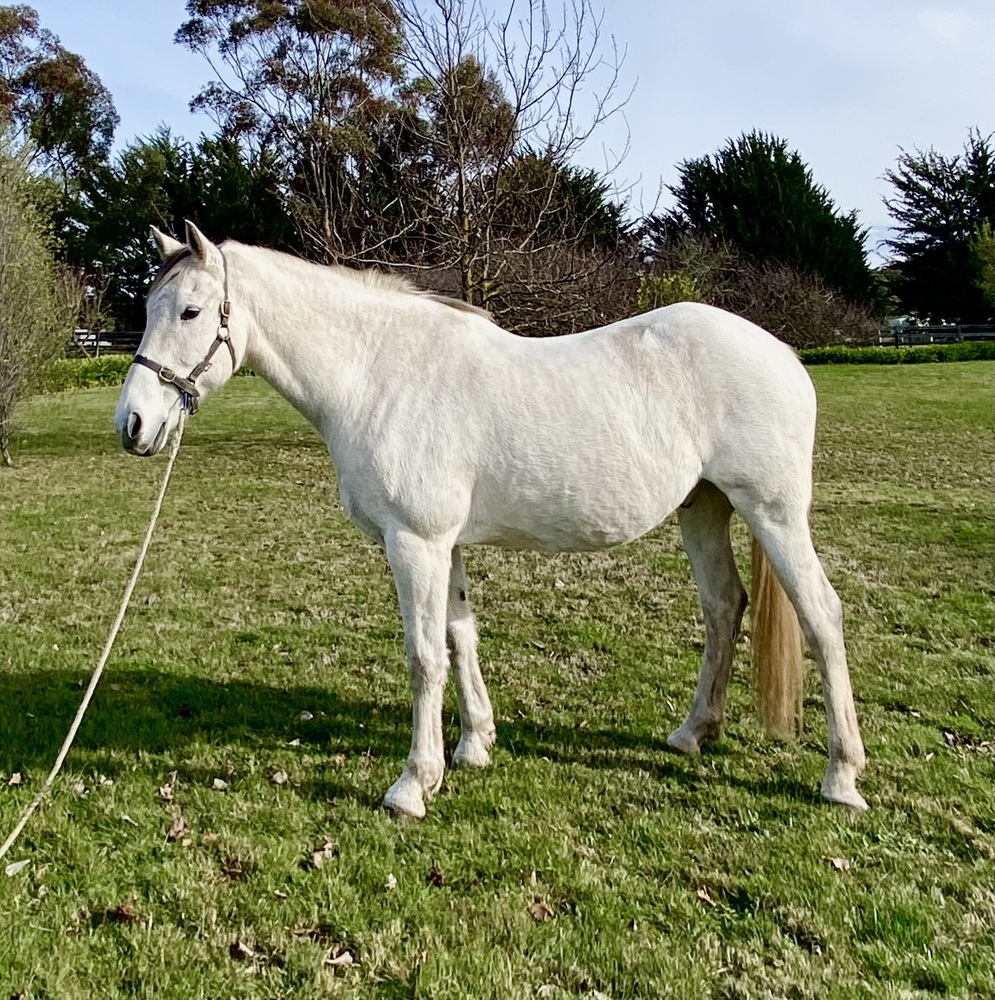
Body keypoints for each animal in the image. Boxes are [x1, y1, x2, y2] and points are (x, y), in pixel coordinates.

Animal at [114, 221, 867, 818]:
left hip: (773, 513)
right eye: (149, 308)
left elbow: (423, 656)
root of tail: (782, 353)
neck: (378, 374)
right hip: (703, 507)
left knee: (821, 616)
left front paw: (412, 786)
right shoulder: (444, 544)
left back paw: (841, 777)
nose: (134, 425)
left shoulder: (413, 542)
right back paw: (691, 734)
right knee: (722, 606)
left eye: (190, 311)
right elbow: (460, 636)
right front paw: (473, 745)